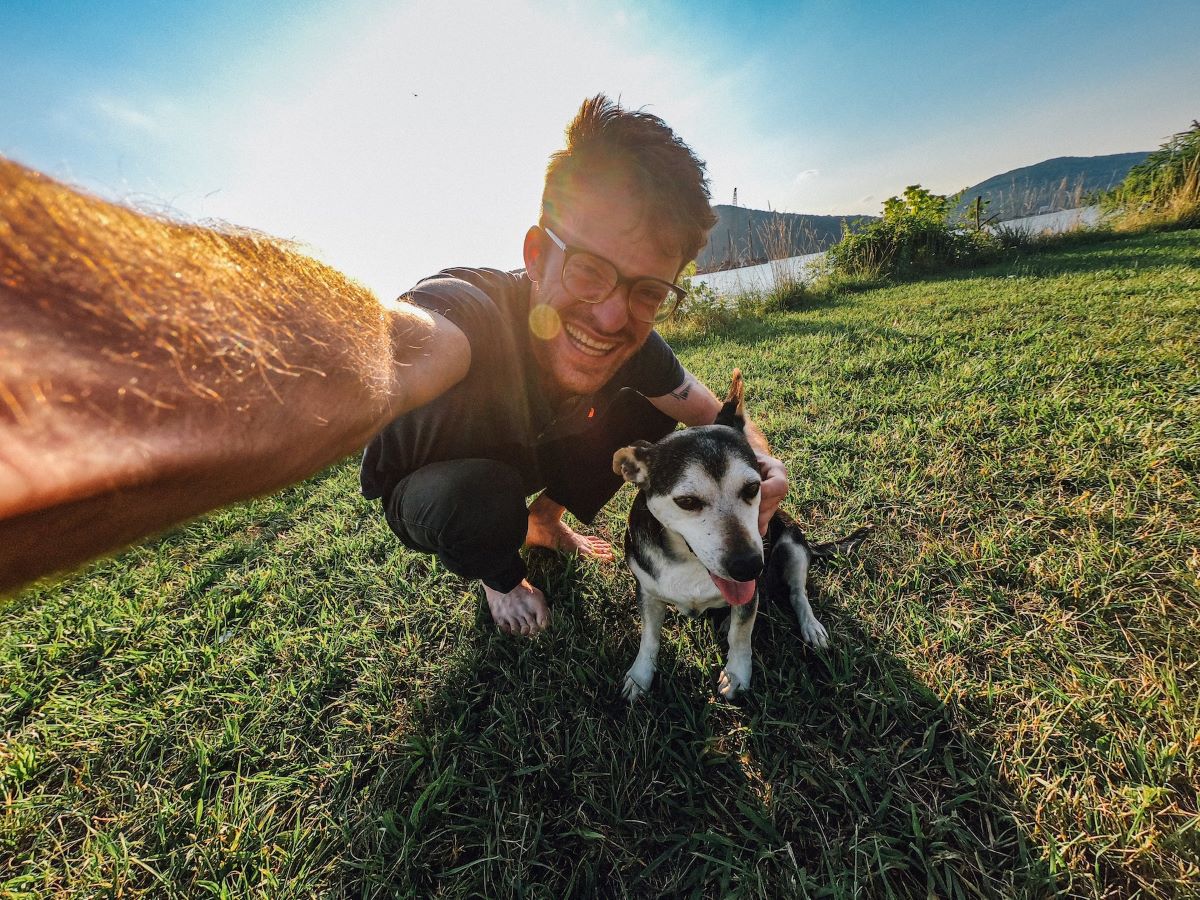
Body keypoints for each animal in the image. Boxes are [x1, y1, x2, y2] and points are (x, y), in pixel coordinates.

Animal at [614, 369, 868, 700]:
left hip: (793, 543)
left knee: (798, 593)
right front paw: (640, 676)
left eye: (752, 488)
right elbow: (649, 638)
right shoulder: (647, 592)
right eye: (686, 502)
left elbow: (741, 633)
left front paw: (737, 674)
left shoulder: (751, 592)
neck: (688, 563)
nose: (749, 567)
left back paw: (811, 627)